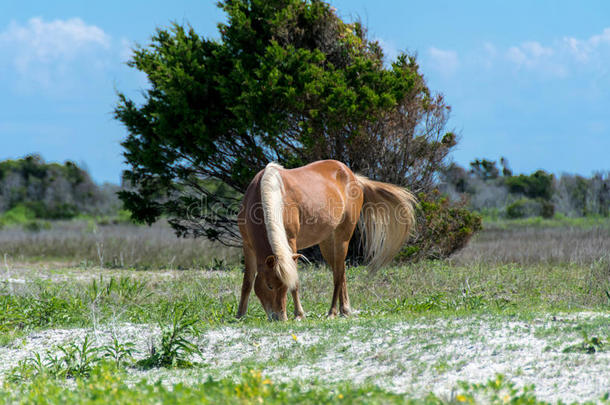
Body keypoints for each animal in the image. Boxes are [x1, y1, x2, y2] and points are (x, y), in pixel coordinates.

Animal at [235, 159, 416, 320]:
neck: (267, 191)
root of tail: (353, 177)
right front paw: (240, 315)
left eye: (284, 286)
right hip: (327, 243)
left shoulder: (291, 243)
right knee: (340, 271)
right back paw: (345, 310)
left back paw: (333, 312)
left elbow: (296, 281)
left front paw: (299, 314)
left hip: (342, 239)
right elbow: (247, 282)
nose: (280, 317)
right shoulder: (248, 246)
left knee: (338, 275)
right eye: (269, 285)